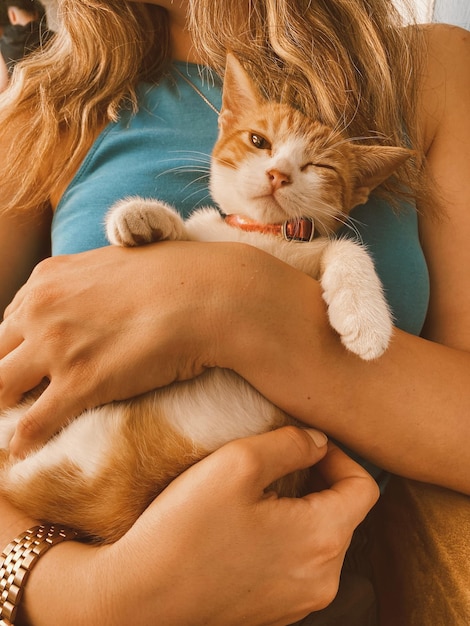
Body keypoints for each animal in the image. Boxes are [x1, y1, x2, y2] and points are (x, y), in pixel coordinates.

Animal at [0, 53, 410, 540]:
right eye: (258, 141)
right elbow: (189, 233)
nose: (278, 174)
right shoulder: (213, 236)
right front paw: (141, 216)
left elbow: (347, 248)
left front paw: (366, 323)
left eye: (319, 167)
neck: (258, 235)